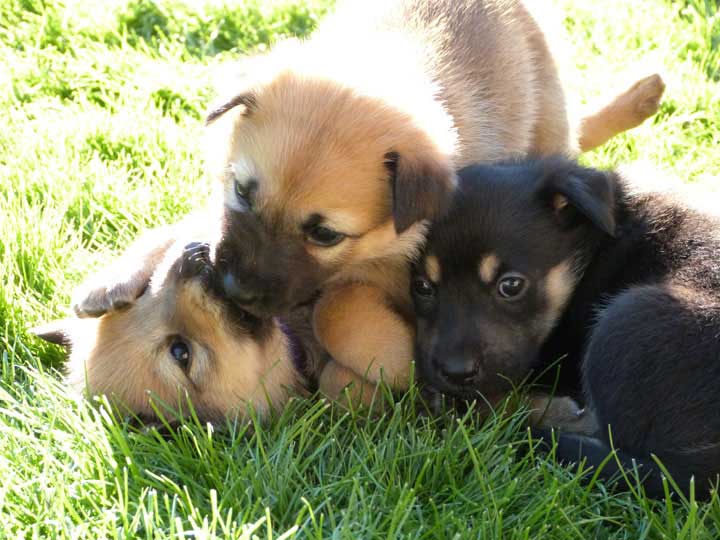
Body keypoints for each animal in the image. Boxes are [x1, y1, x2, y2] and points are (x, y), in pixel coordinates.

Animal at [71, 0, 664, 404]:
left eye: (324, 234)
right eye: (241, 191)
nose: (232, 289)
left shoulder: (397, 266)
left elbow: (339, 308)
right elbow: (186, 228)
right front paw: (115, 279)